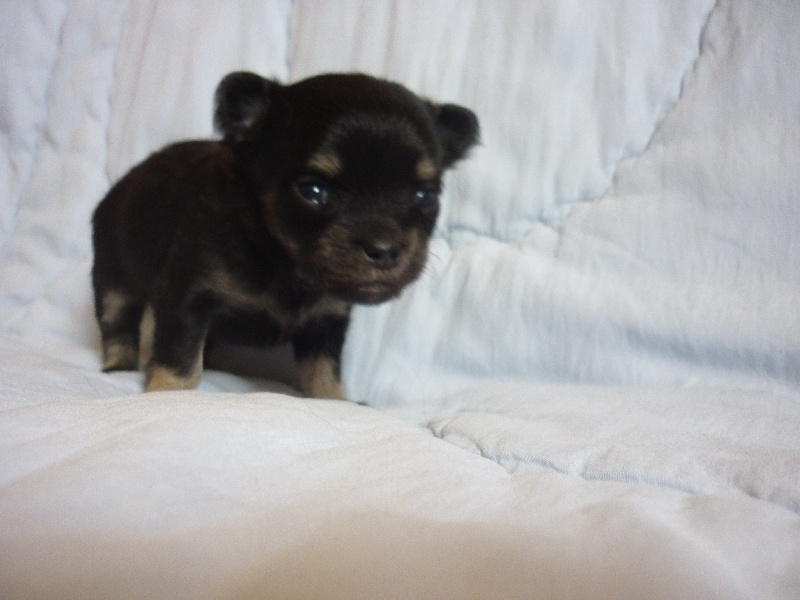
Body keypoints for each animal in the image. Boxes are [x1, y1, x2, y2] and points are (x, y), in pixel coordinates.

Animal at [91, 71, 479, 398]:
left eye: (425, 196)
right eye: (313, 192)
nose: (384, 249)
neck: (282, 261)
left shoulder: (325, 321)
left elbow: (323, 373)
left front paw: (337, 402)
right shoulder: (185, 298)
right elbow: (179, 359)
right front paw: (168, 396)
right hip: (113, 278)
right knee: (117, 324)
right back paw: (118, 366)